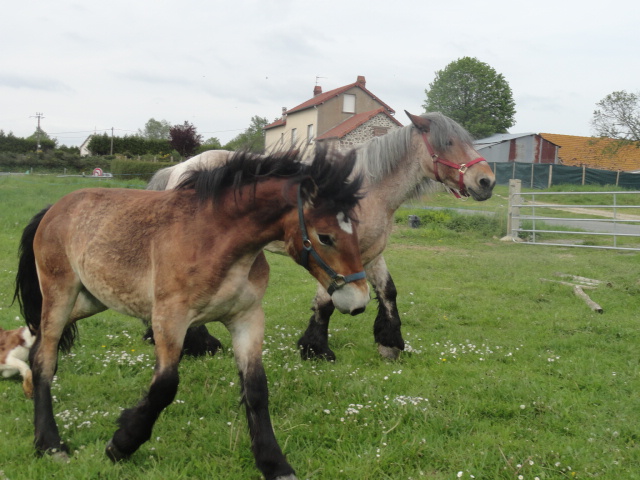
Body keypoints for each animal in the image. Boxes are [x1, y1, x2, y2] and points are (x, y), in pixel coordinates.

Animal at [12, 148, 368, 478]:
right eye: (325, 236)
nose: (359, 301)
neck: (215, 241)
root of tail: (54, 208)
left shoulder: (247, 318)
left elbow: (256, 389)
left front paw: (275, 464)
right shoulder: (169, 319)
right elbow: (165, 386)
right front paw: (121, 443)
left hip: (90, 300)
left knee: (37, 339)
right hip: (60, 293)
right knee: (45, 357)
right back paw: (50, 444)